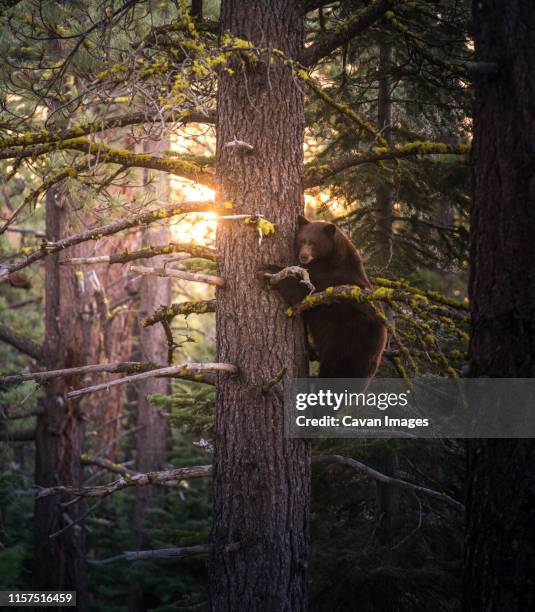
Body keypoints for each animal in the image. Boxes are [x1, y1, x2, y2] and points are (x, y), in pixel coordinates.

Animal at [262, 216, 388, 382]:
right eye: (302, 240)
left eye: (314, 243)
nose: (303, 256)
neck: (329, 260)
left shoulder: (331, 281)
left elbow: (303, 293)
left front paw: (267, 269)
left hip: (345, 343)